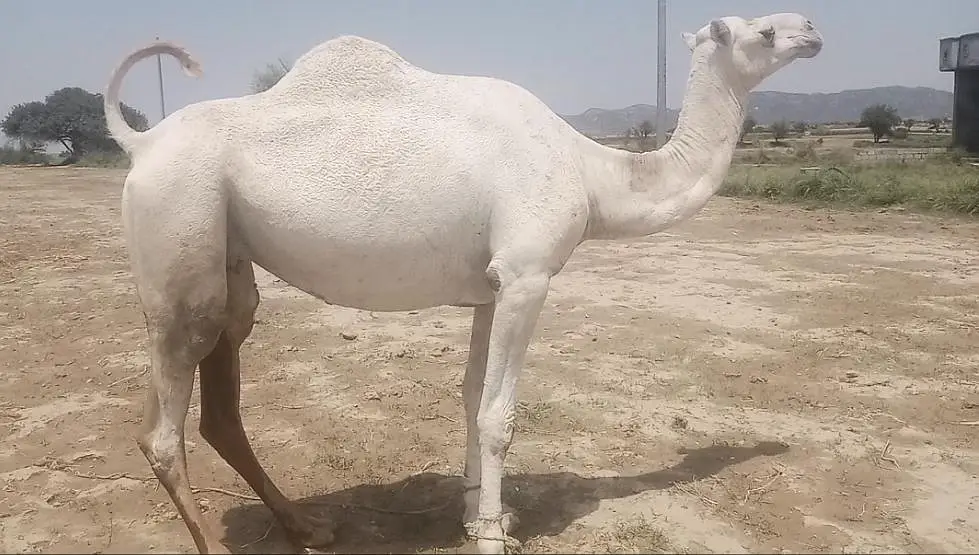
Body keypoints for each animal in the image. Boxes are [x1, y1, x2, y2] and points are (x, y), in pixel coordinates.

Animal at [102, 12, 822, 554]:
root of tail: (141, 144)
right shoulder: (528, 274)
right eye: (762, 30)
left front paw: (477, 516)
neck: (590, 171)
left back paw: (308, 525)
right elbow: (500, 413)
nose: (813, 30)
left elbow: (472, 395)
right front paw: (494, 538)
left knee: (219, 395)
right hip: (178, 225)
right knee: (163, 423)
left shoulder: (490, 287)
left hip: (225, 258)